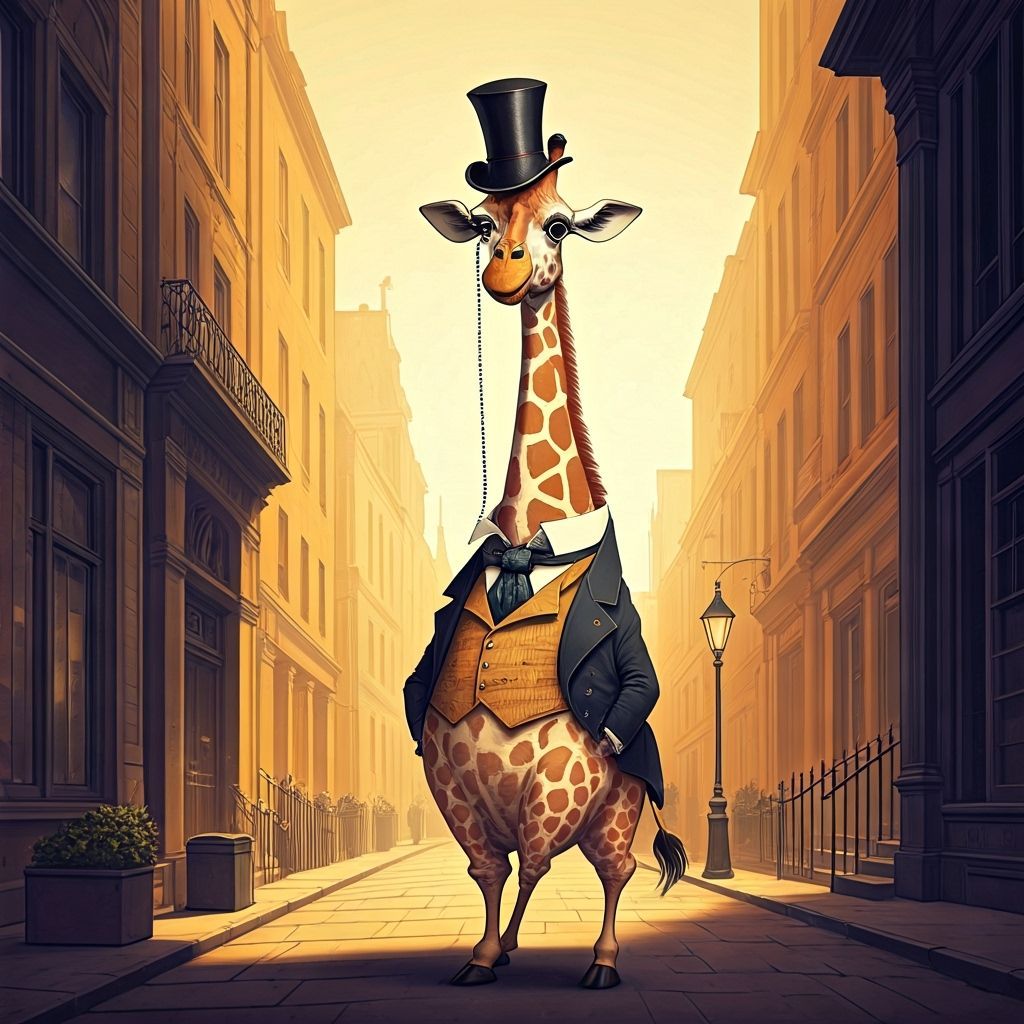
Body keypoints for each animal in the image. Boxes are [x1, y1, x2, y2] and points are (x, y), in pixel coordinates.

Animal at [415, 123, 686, 990]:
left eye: (560, 224)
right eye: (481, 221)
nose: (504, 269)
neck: (527, 550)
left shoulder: (561, 780)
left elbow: (533, 865)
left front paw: (509, 952)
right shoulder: (451, 783)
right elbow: (488, 872)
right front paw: (482, 954)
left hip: (620, 808)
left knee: (616, 870)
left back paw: (601, 960)